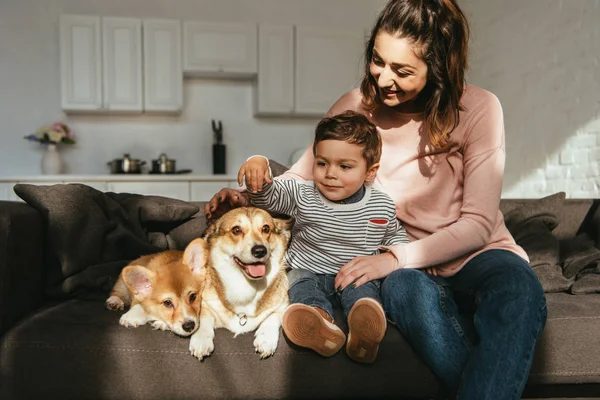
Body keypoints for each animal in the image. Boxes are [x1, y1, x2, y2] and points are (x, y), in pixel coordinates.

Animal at [188, 206, 290, 360]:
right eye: (236, 230)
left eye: (266, 229)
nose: (260, 251)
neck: (245, 285)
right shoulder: (205, 305)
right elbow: (204, 316)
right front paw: (201, 339)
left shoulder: (284, 306)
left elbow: (273, 316)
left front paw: (266, 338)